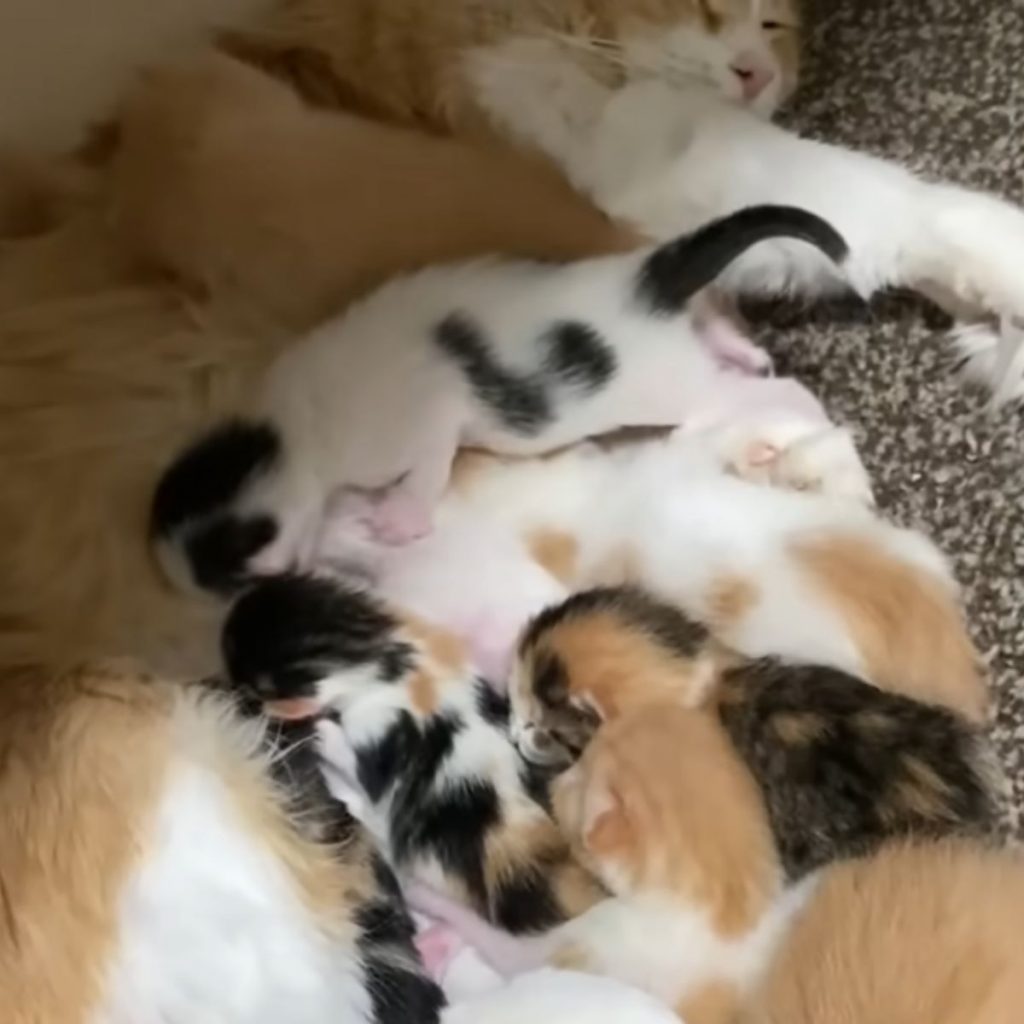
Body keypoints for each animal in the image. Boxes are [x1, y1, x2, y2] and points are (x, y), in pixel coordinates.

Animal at [220, 577, 602, 937]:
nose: (234, 694)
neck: (373, 653)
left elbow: (354, 758)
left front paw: (321, 730)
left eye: (248, 689)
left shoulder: (371, 727)